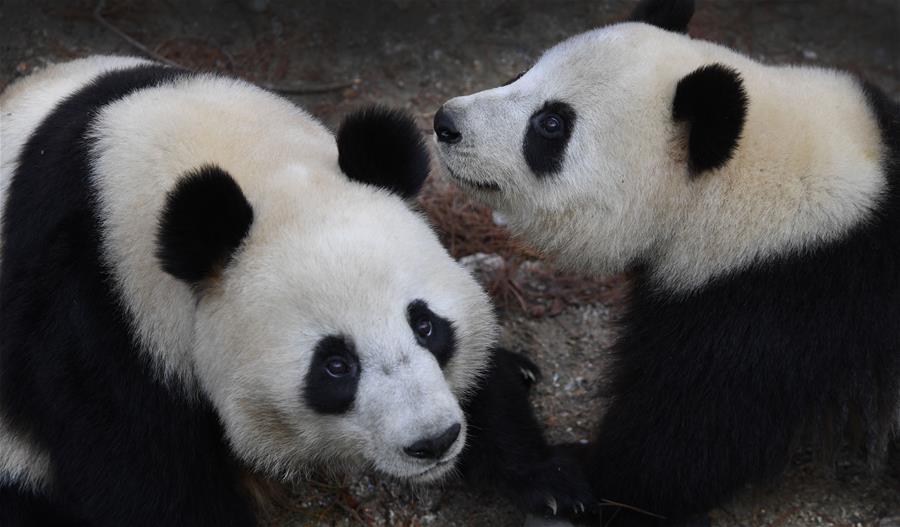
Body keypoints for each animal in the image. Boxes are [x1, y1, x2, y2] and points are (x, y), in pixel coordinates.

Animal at [0, 56, 590, 526]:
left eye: (426, 326)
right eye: (336, 365)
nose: (434, 441)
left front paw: (550, 480)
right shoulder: (98, 303)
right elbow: (138, 468)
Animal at [433, 0, 900, 525]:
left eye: (550, 124)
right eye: (521, 73)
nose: (445, 123)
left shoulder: (782, 297)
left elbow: (682, 442)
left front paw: (573, 478)